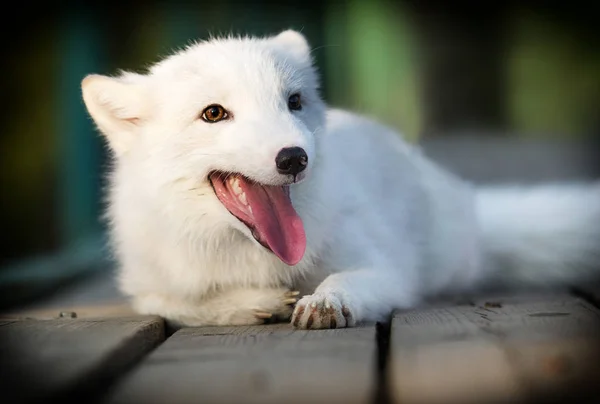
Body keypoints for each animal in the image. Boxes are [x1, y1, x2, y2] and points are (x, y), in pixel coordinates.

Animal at [81, 30, 600, 328]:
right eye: (213, 113)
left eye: (293, 102)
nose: (295, 158)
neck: (258, 260)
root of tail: (469, 205)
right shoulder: (149, 289)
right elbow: (182, 306)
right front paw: (258, 303)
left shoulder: (389, 269)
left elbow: (351, 280)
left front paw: (326, 300)